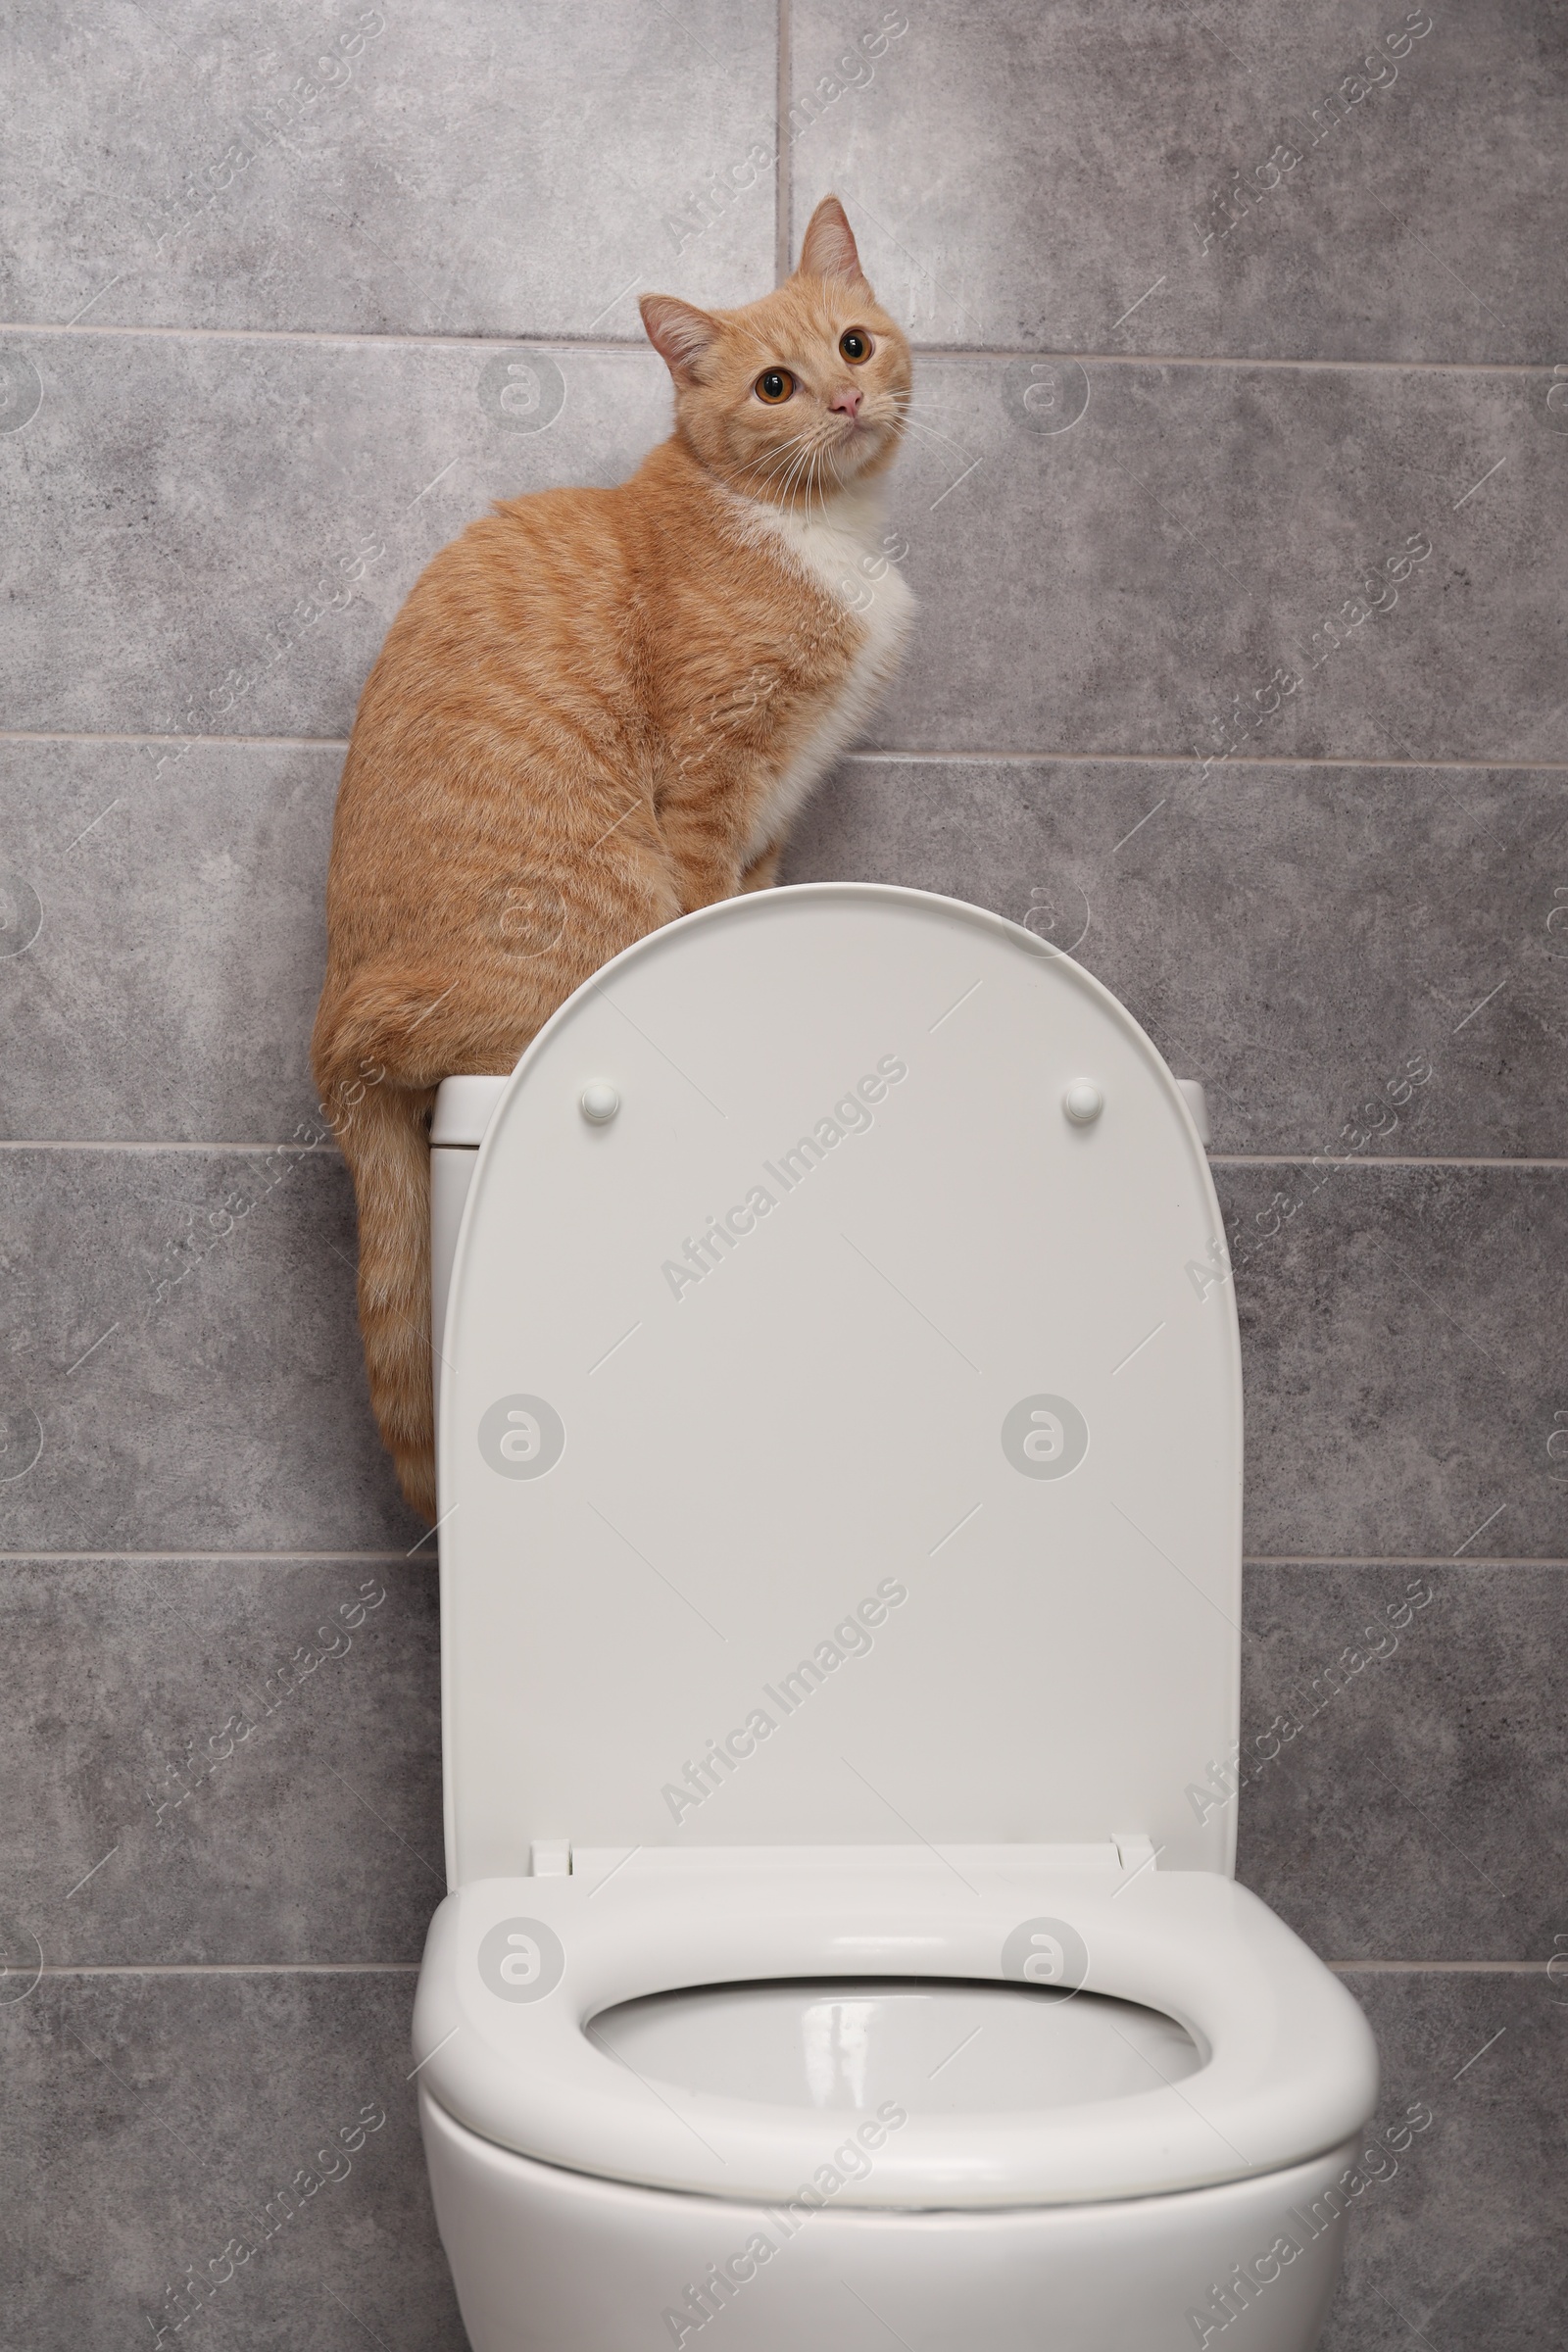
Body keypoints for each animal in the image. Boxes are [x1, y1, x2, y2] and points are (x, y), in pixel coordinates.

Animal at [310, 202, 911, 1524]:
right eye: (776, 386)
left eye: (853, 345)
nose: (846, 401)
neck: (811, 530)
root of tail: (337, 1032)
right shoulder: (707, 784)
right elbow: (704, 921)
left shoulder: (774, 811)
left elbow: (754, 911)